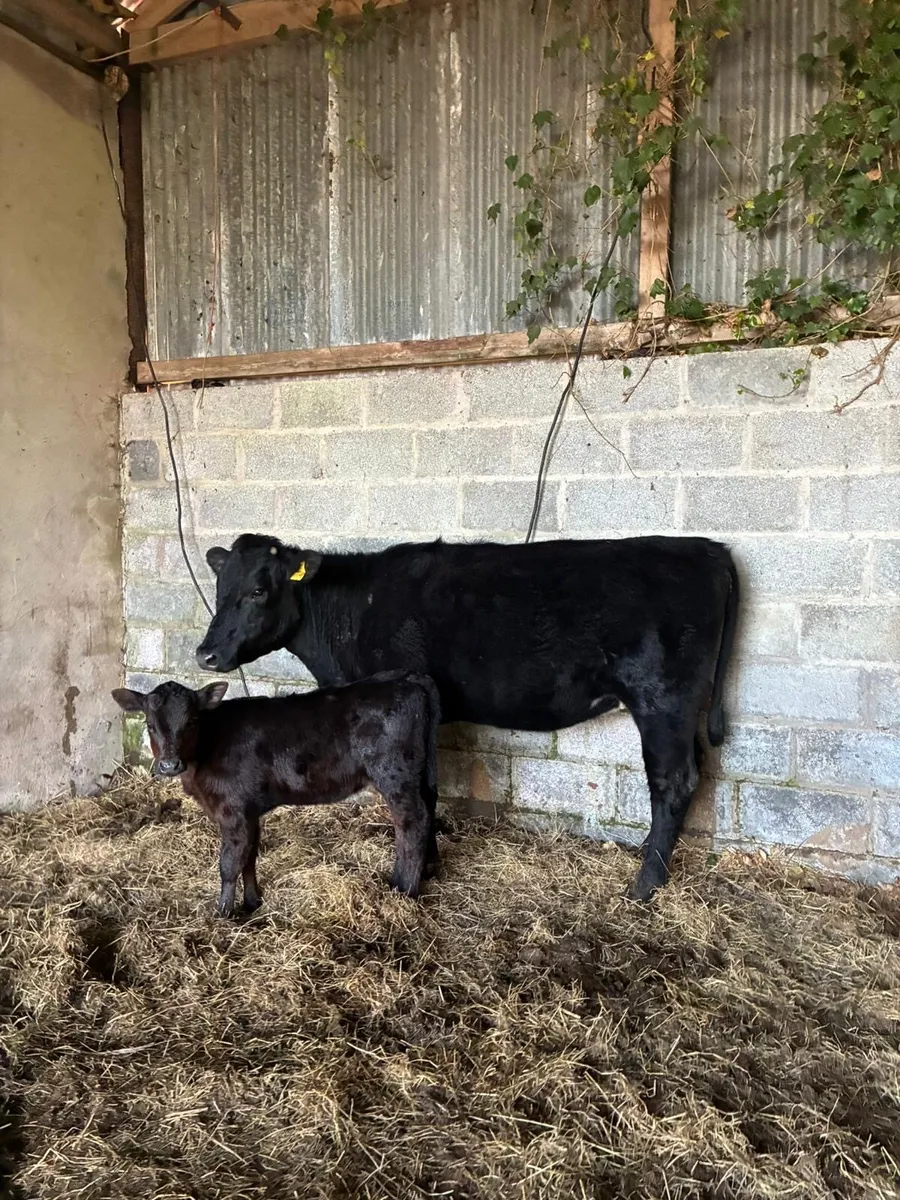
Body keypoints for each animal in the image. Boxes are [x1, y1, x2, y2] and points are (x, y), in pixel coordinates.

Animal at [111, 672, 441, 916]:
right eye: (150, 724)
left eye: (192, 721)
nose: (169, 764)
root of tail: (407, 680)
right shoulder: (249, 812)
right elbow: (249, 857)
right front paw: (252, 902)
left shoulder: (233, 810)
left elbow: (229, 863)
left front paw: (222, 914)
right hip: (419, 774)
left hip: (395, 773)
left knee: (413, 824)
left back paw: (403, 891)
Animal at [195, 534, 740, 901]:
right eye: (219, 590)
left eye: (259, 591)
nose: (206, 654)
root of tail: (705, 548)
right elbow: (431, 788)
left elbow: (423, 792)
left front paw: (421, 867)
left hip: (662, 700)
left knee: (673, 780)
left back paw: (645, 883)